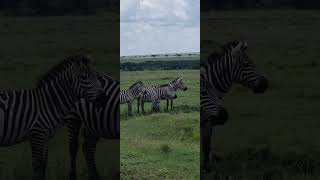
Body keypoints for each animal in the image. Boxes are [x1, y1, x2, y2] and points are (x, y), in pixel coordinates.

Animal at [201, 40, 268, 172]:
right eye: (246, 64)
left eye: (253, 64)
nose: (265, 84)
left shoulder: (209, 119)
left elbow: (207, 143)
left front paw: (207, 167)